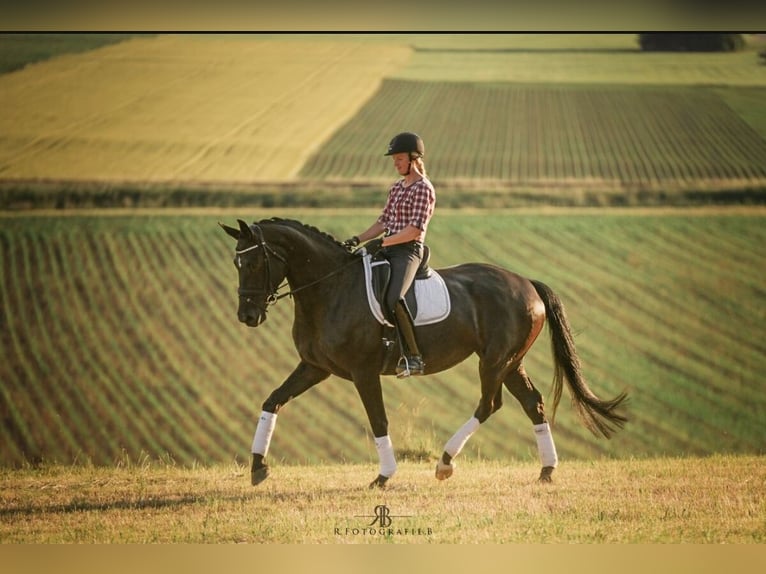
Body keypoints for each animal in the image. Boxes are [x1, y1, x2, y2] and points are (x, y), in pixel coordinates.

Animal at [222, 218, 632, 488]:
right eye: (236, 263)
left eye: (254, 262)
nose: (247, 316)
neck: (330, 288)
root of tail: (526, 283)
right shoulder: (314, 367)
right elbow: (272, 401)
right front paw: (258, 467)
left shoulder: (363, 372)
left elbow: (378, 421)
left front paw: (384, 476)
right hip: (512, 361)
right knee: (533, 403)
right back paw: (547, 471)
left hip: (495, 360)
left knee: (490, 404)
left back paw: (445, 463)